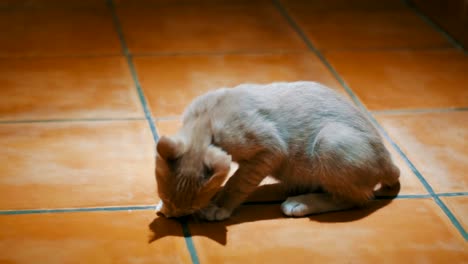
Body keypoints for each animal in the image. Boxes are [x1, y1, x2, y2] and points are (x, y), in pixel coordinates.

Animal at [155, 82, 400, 221]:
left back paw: (301, 202)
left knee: (356, 199)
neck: (207, 119)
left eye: (193, 206)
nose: (176, 216)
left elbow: (237, 181)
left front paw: (219, 206)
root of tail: (388, 160)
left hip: (329, 141)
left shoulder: (270, 149)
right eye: (166, 197)